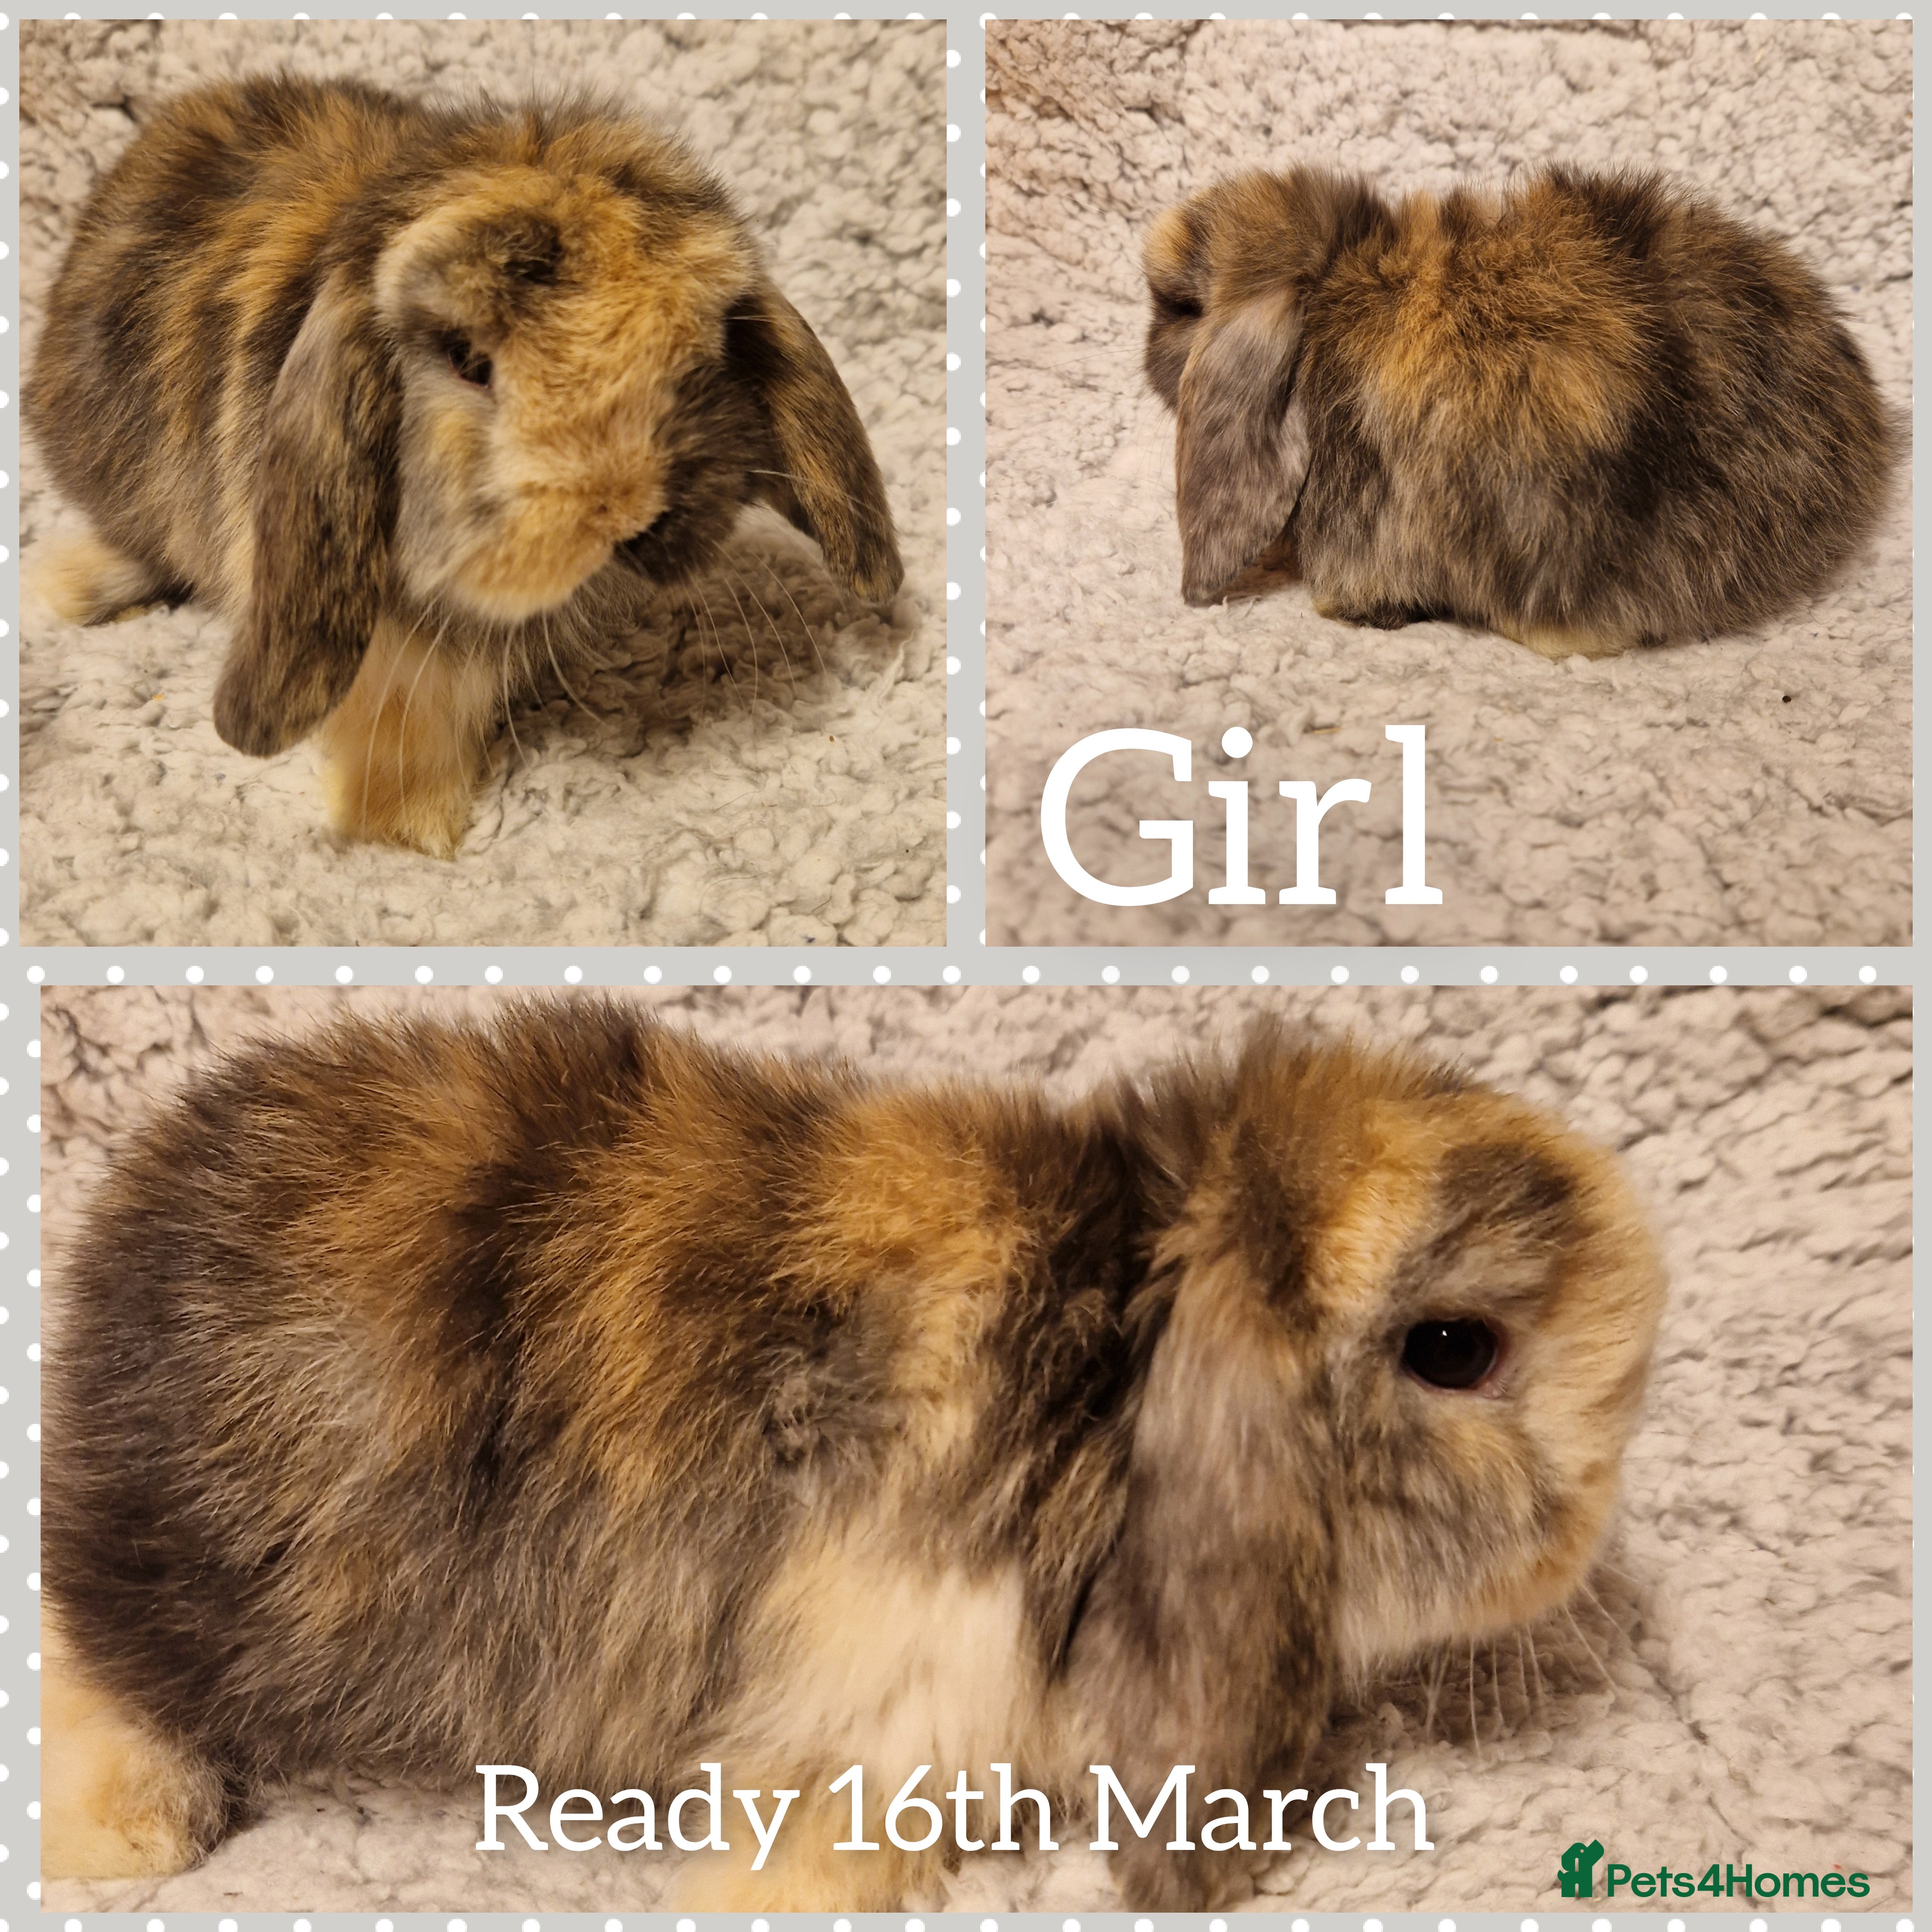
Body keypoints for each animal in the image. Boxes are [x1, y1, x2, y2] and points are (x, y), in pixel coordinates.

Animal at [24, 73, 903, 858]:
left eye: (699, 345)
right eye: (468, 363)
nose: (622, 510)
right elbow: (400, 716)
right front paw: (407, 835)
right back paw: (64, 590)